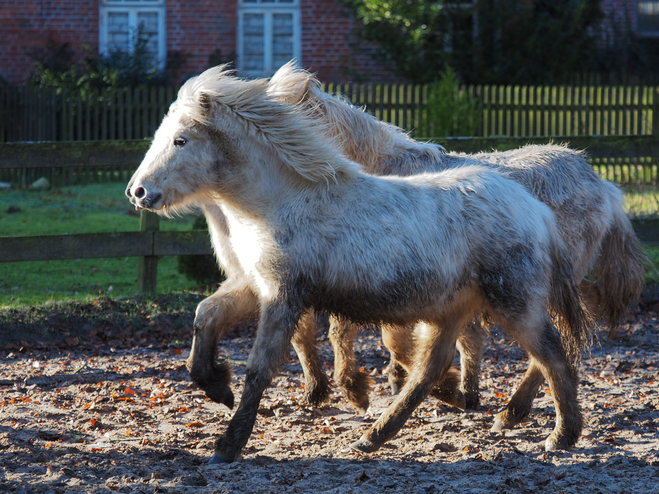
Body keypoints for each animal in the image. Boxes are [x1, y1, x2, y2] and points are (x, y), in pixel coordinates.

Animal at [127, 67, 588, 466]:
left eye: (181, 140)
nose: (138, 192)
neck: (281, 202)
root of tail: (536, 211)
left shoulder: (282, 295)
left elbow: (259, 369)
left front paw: (227, 445)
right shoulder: (257, 285)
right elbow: (206, 316)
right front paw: (216, 385)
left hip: (514, 304)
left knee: (553, 356)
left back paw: (560, 435)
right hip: (451, 309)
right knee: (430, 368)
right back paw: (374, 435)